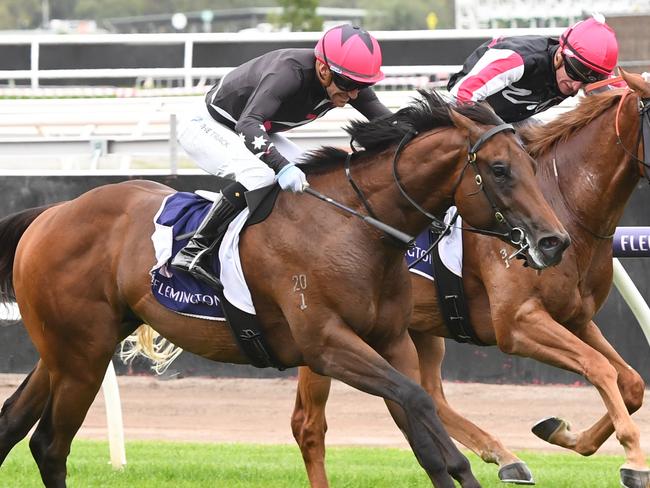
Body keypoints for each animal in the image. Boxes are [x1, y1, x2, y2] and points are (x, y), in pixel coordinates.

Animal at [0, 92, 568, 488]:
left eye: (533, 165)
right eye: (500, 170)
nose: (554, 240)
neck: (353, 228)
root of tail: (49, 214)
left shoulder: (391, 342)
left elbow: (424, 433)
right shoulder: (327, 345)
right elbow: (419, 403)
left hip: (68, 351)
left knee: (14, 425)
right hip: (82, 354)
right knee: (49, 444)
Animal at [292, 70, 648, 488]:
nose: (552, 244)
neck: (566, 205)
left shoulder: (575, 318)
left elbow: (630, 382)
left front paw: (564, 433)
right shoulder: (517, 323)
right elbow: (599, 367)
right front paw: (634, 460)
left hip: (415, 328)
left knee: (427, 393)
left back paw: (505, 456)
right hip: (324, 334)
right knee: (308, 423)